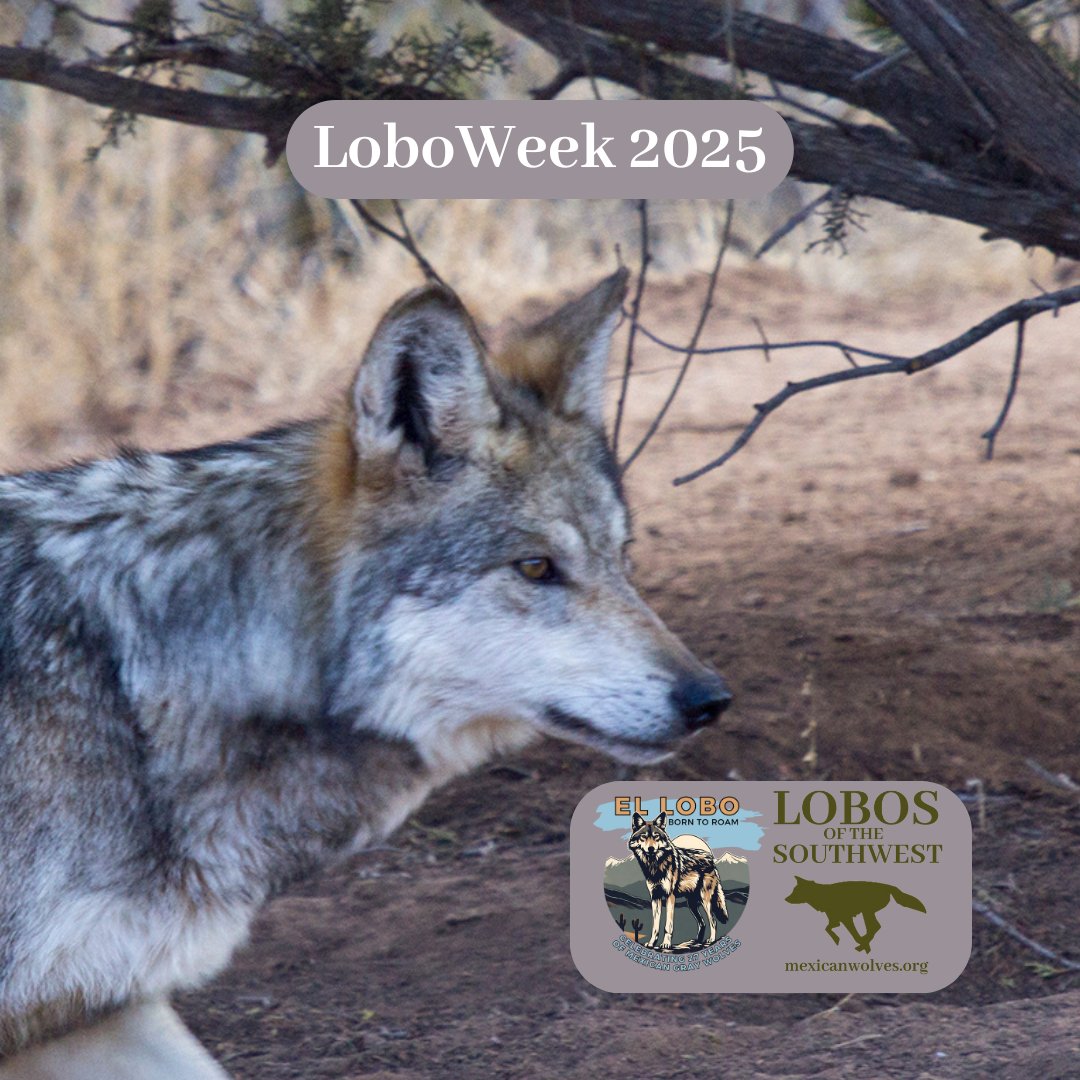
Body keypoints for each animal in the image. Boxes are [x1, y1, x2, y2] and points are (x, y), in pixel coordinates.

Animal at [628, 811, 729, 951]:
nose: (651, 848)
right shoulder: (655, 897)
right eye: (643, 837)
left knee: (712, 920)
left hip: (705, 900)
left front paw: (666, 944)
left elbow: (668, 926)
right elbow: (655, 926)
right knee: (702, 922)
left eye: (656, 837)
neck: (655, 865)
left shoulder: (670, 896)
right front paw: (652, 943)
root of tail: (711, 860)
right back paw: (697, 941)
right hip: (691, 904)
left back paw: (711, 940)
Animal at [784, 876, 926, 953]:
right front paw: (837, 939)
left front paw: (860, 944)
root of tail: (888, 886)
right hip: (867, 912)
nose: (786, 899)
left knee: (874, 927)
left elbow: (854, 934)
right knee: (875, 927)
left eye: (796, 891)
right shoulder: (836, 919)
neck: (821, 895)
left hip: (866, 911)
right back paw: (864, 944)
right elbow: (827, 928)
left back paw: (862, 945)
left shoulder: (846, 918)